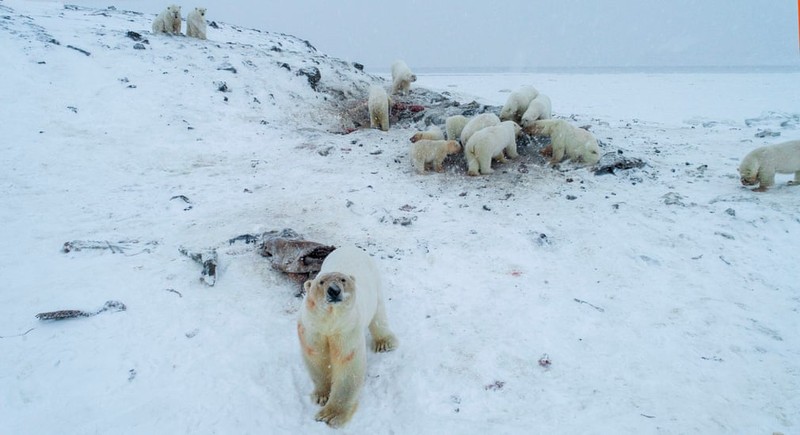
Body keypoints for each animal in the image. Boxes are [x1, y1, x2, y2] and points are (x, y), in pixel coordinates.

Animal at [296, 247, 396, 428]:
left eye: (343, 280)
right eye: (321, 282)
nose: (334, 290)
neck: (330, 322)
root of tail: (350, 247)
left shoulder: (346, 330)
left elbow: (347, 365)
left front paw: (330, 415)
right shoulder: (312, 329)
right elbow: (317, 357)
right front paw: (321, 396)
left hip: (375, 283)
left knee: (379, 313)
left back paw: (384, 343)